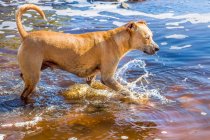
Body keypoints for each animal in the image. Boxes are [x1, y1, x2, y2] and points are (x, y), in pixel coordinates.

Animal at [15, 3, 158, 101]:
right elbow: (125, 91)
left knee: (23, 77)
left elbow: (95, 85)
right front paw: (137, 99)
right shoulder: (107, 77)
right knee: (24, 93)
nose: (157, 48)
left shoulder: (93, 77)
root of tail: (26, 36)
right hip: (34, 73)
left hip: (38, 68)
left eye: (152, 36)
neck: (116, 40)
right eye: (147, 37)